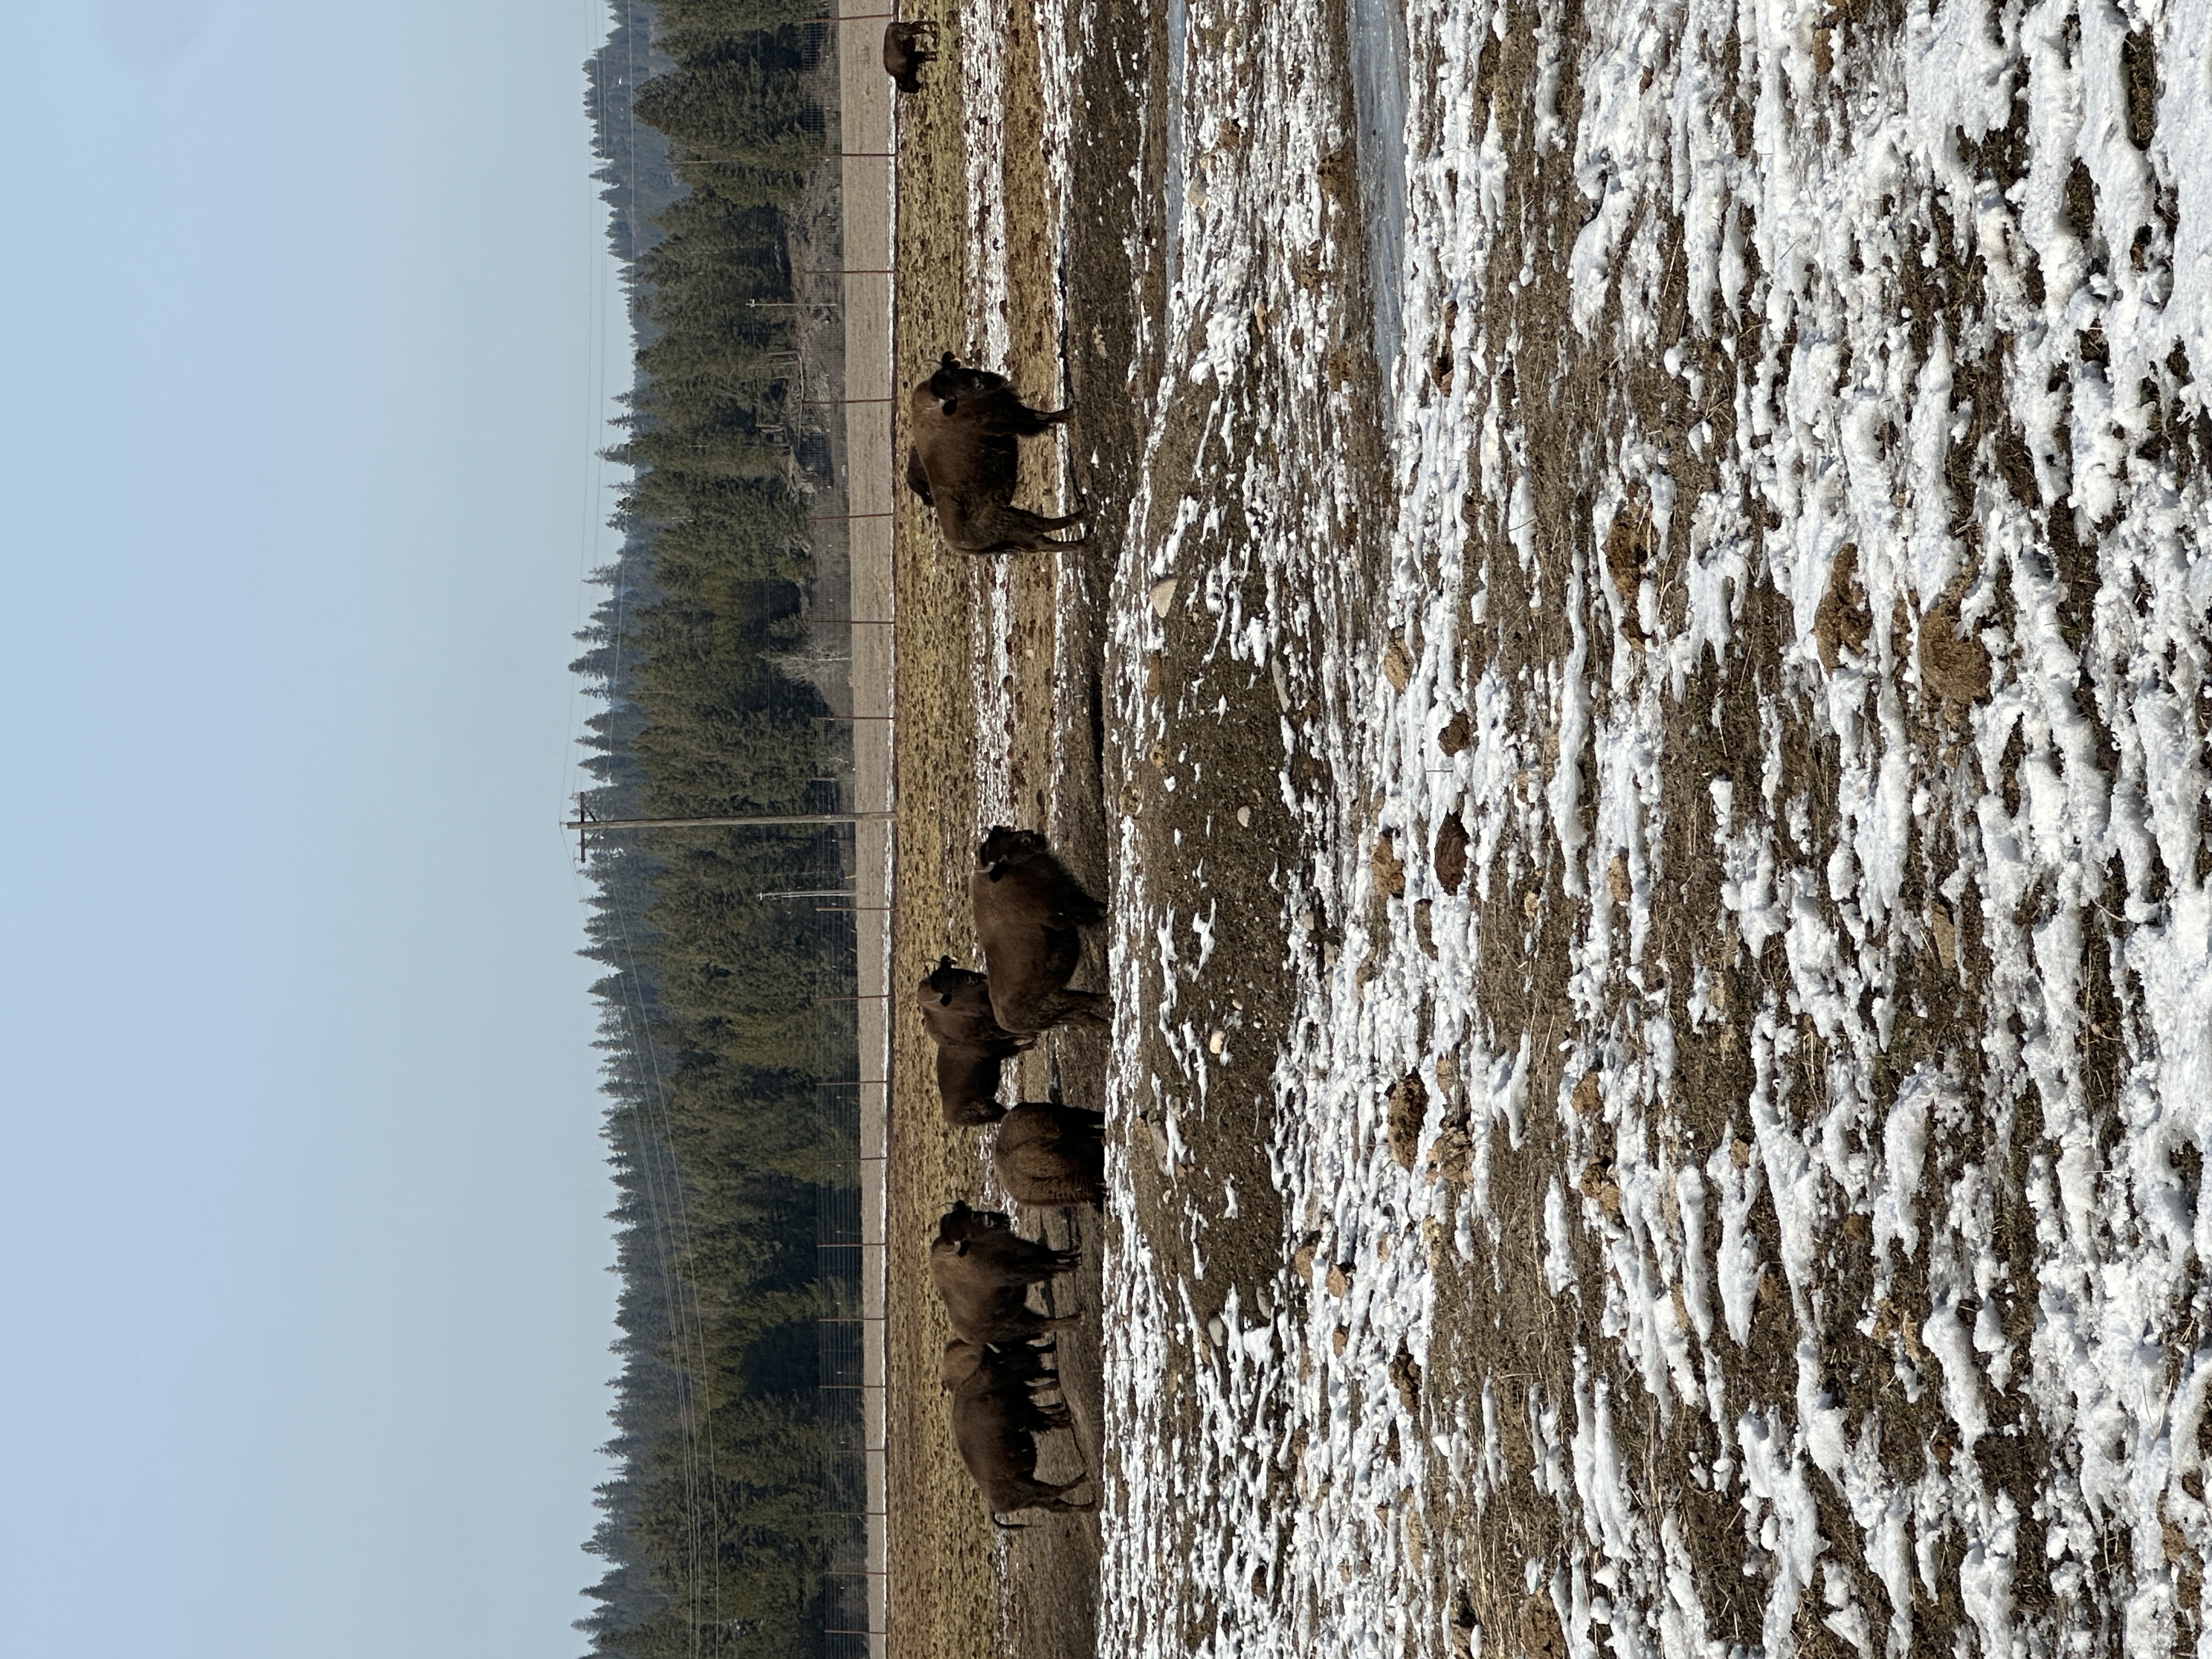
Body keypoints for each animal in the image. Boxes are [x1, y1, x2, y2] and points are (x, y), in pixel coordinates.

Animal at [882, 21, 938, 93]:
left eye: (906, 87)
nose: (916, 90)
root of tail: (891, 25)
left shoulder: (913, 60)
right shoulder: (915, 56)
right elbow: (925, 56)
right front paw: (935, 56)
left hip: (910, 30)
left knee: (919, 28)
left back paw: (933, 34)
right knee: (917, 24)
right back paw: (934, 25)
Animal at [907, 354, 1086, 555]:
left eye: (953, 371)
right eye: (952, 396)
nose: (979, 381)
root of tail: (957, 544)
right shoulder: (1010, 418)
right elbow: (1041, 418)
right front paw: (1072, 412)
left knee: (1042, 542)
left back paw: (1082, 541)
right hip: (1012, 520)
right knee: (1042, 528)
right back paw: (1083, 518)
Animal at [929, 1200, 1082, 1347]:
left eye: (969, 1213)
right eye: (968, 1235)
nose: (993, 1219)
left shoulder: (1025, 1249)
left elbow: (1052, 1254)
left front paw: (1075, 1251)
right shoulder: (1019, 1271)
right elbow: (1049, 1265)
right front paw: (1073, 1266)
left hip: (1021, 1312)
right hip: (1017, 1324)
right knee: (1046, 1324)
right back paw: (1078, 1320)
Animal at [971, 827, 1111, 1033]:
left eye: (1003, 832)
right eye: (1004, 857)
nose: (1029, 837)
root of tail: (1008, 1024)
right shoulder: (1067, 909)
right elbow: (1090, 912)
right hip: (1058, 1001)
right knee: (1086, 1003)